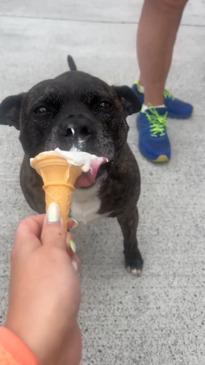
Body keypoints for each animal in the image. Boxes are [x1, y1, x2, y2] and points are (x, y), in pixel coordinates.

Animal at [0, 56, 143, 272]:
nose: (76, 127)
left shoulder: (129, 211)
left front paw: (133, 258)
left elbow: (130, 236)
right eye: (41, 110)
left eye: (103, 105)